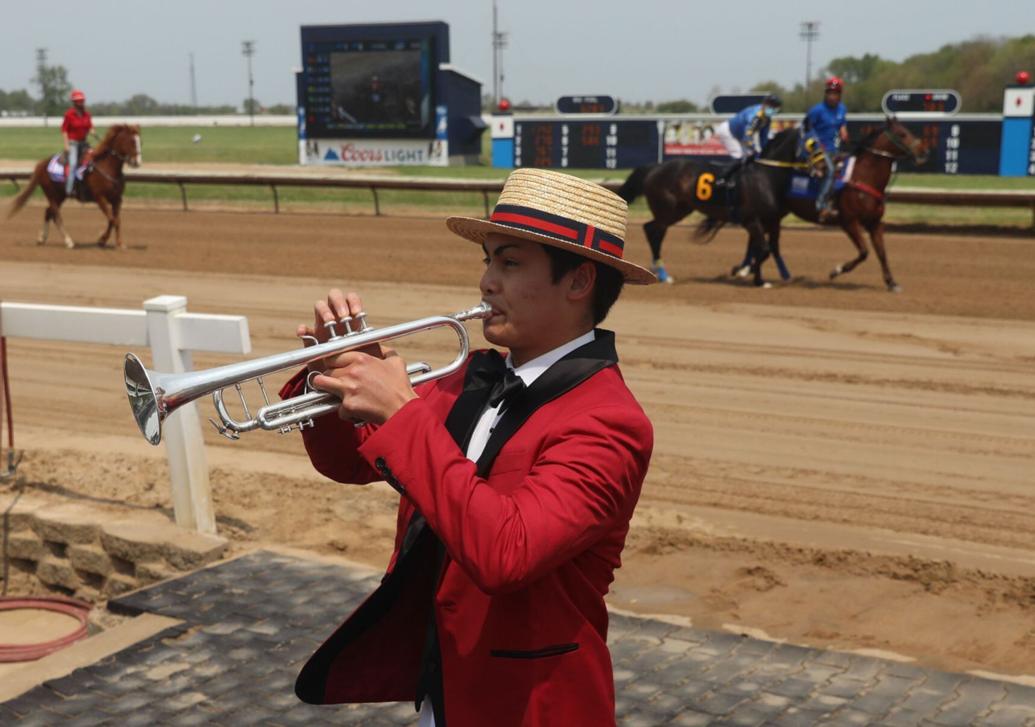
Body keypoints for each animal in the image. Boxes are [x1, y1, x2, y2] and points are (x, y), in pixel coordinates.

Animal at [6, 124, 142, 250]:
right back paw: (68, 241)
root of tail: (42, 164)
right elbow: (112, 219)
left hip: (60, 196)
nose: (138, 162)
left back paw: (41, 238)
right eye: (132, 141)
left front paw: (119, 243)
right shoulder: (100, 198)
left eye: (140, 141)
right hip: (52, 195)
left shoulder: (117, 199)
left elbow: (116, 220)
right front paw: (101, 239)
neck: (107, 167)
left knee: (48, 212)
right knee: (56, 216)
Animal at [617, 127, 802, 288]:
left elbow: (765, 249)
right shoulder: (751, 220)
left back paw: (658, 269)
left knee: (651, 229)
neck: (765, 177)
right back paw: (663, 274)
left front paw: (755, 276)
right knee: (653, 231)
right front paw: (757, 280)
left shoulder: (771, 220)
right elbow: (764, 249)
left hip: (679, 209)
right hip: (668, 210)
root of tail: (655, 167)